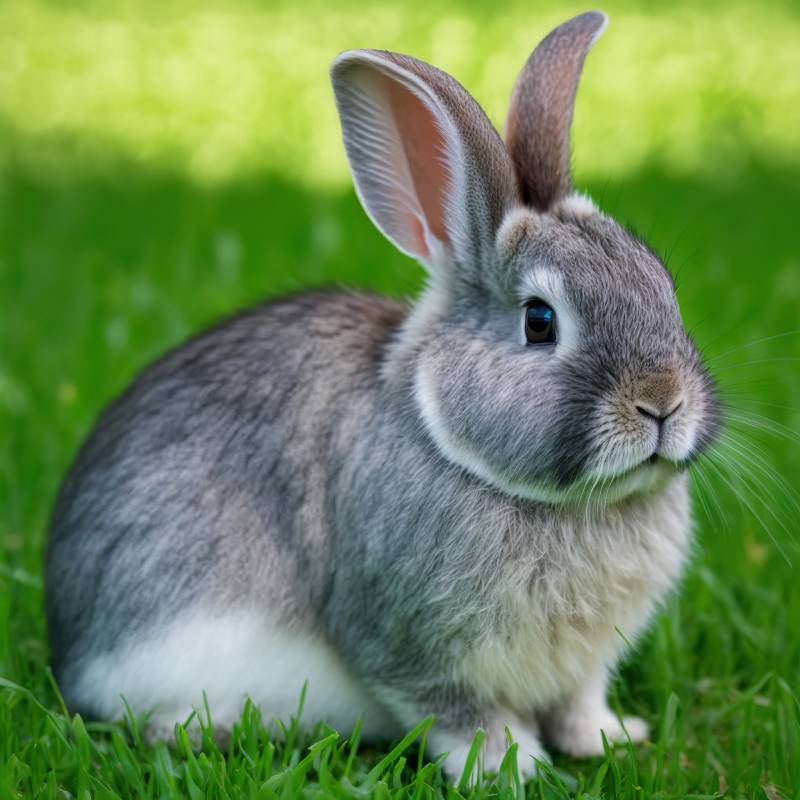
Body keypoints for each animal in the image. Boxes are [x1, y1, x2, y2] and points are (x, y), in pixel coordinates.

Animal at [45, 10, 720, 780]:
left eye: (662, 283)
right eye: (540, 321)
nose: (663, 403)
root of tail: (70, 647)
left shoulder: (581, 669)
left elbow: (579, 701)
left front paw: (609, 737)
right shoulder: (408, 644)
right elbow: (457, 710)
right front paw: (510, 766)